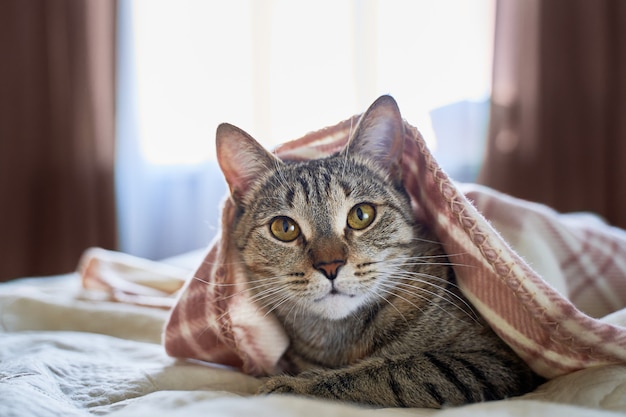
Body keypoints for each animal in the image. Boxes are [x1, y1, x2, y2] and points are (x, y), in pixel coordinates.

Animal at [217, 95, 540, 406]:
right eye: (284, 228)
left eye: (361, 215)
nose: (330, 266)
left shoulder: (492, 361)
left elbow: (388, 373)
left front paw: (293, 385)